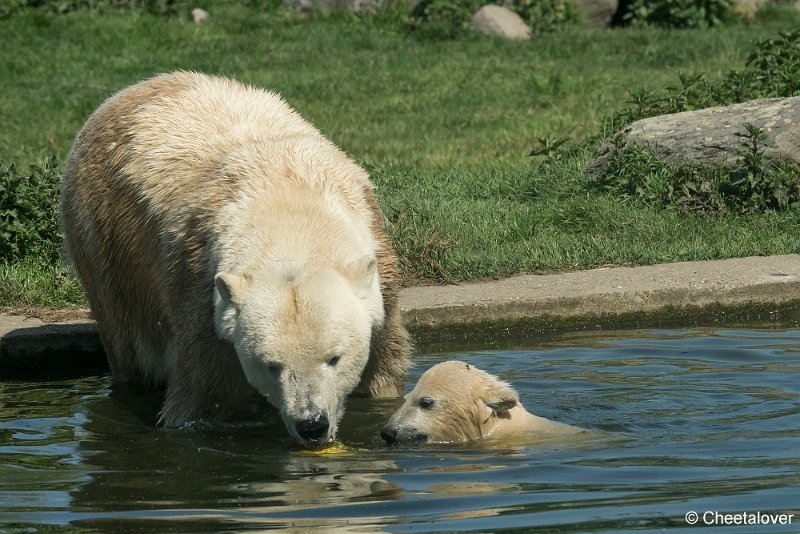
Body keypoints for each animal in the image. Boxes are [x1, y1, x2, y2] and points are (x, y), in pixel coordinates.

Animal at [61, 71, 410, 448]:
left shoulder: (379, 267)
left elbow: (381, 369)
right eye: (271, 365)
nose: (311, 425)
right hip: (102, 242)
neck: (287, 206)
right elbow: (199, 396)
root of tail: (128, 91)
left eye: (335, 358)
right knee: (128, 343)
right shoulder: (199, 294)